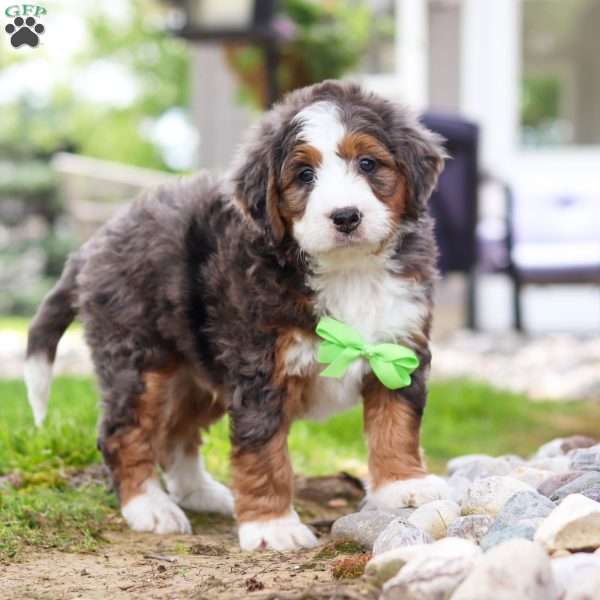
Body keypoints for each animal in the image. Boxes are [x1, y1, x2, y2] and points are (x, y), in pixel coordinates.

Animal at [27, 81, 450, 552]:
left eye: (368, 163)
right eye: (304, 175)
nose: (345, 217)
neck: (350, 271)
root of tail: (92, 246)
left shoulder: (397, 348)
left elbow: (397, 421)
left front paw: (401, 486)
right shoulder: (258, 365)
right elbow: (261, 448)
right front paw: (272, 526)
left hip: (198, 367)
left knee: (176, 434)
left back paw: (202, 493)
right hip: (137, 360)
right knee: (124, 432)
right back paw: (150, 507)